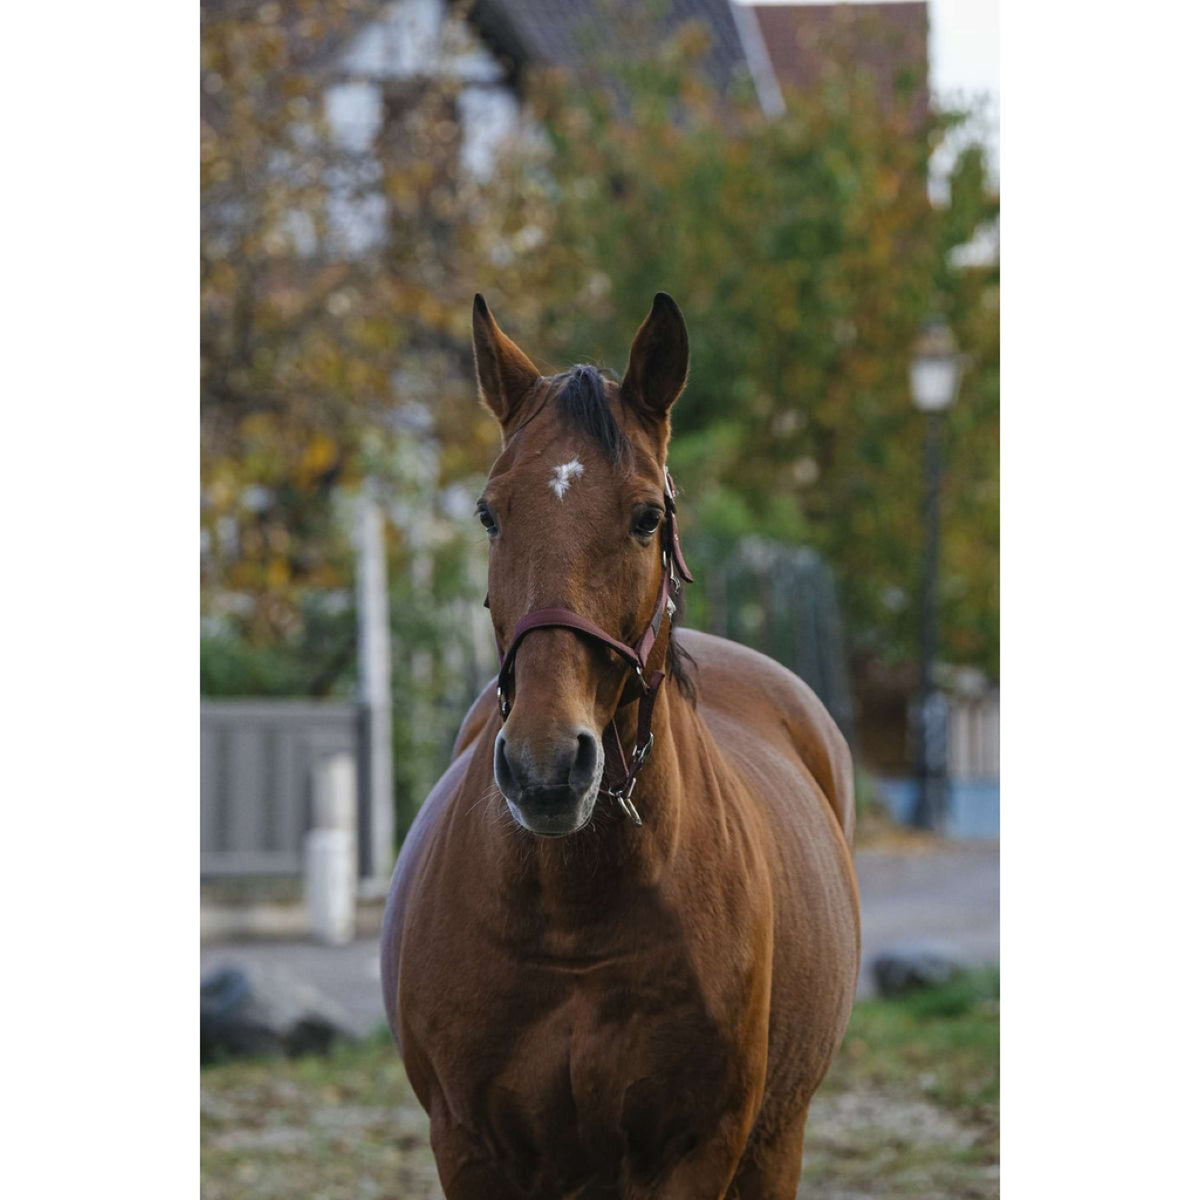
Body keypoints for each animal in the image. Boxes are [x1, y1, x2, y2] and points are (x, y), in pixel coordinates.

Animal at [379, 292, 859, 1200]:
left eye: (646, 516)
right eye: (490, 514)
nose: (545, 769)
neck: (570, 921)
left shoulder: (696, 1151)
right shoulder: (470, 1149)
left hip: (775, 1142)